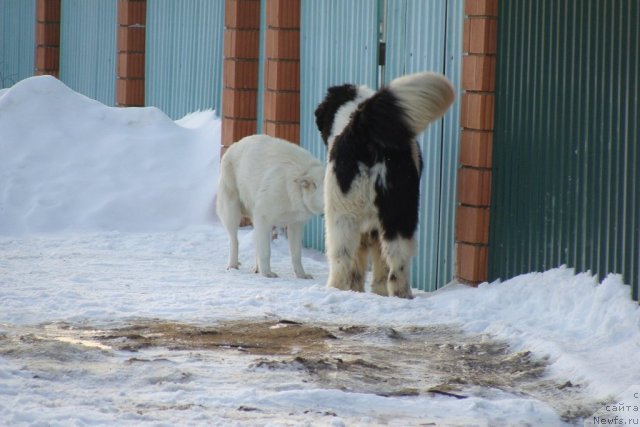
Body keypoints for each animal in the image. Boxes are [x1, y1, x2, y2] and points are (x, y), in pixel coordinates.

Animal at [216, 135, 324, 280]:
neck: (296, 189)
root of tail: (234, 145)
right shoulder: (264, 218)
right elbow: (265, 251)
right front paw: (267, 273)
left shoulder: (295, 225)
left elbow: (296, 255)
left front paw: (301, 274)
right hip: (232, 213)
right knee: (235, 241)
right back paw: (233, 266)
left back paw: (256, 268)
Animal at [316, 72, 456, 300]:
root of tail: (361, 129)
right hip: (395, 213)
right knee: (395, 261)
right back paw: (400, 295)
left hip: (346, 215)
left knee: (344, 261)